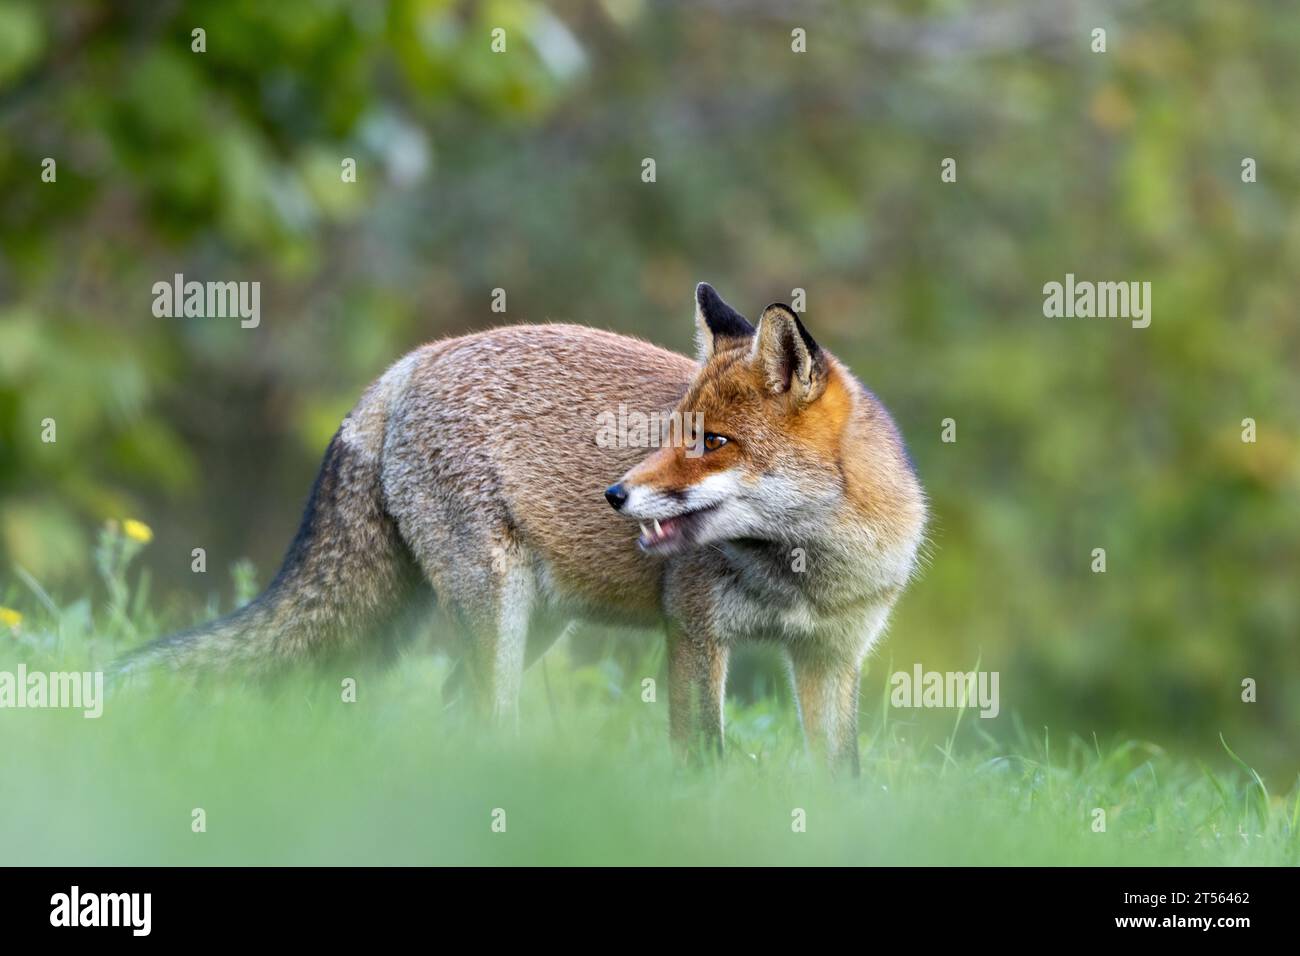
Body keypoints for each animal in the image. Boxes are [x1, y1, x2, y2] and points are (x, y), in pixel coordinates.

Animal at [117, 282, 927, 773]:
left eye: (713, 442)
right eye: (671, 434)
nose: (615, 493)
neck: (807, 573)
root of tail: (411, 362)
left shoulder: (831, 657)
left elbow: (843, 780)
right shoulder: (694, 632)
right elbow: (703, 759)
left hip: (537, 625)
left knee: (449, 713)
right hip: (495, 608)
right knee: (485, 720)